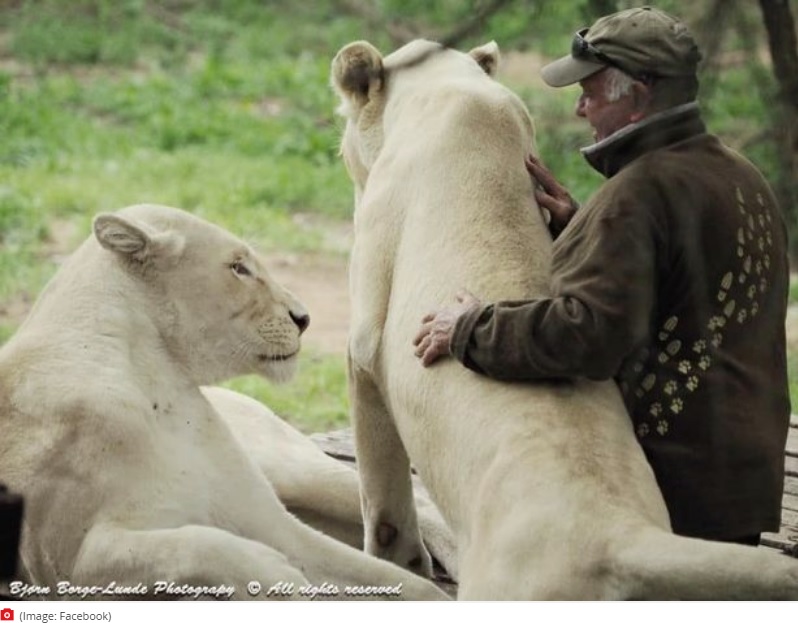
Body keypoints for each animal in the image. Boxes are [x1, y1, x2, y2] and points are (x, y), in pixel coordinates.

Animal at [0, 204, 450, 600]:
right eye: (239, 268)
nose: (303, 318)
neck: (159, 384)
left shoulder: (265, 516)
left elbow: (404, 585)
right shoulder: (61, 559)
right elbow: (191, 544)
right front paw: (277, 575)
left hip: (286, 466)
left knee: (417, 497)